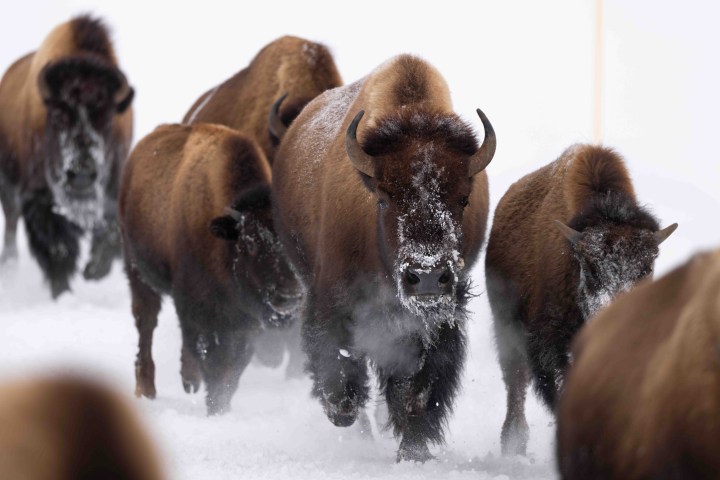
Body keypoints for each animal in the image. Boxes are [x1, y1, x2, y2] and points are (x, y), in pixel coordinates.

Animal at [0, 15, 134, 297]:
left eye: (107, 120)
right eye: (59, 117)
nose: (81, 175)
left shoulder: (113, 188)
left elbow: (109, 233)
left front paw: (93, 271)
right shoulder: (39, 198)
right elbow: (57, 248)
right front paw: (61, 290)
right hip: (7, 184)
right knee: (11, 224)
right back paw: (9, 268)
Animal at [119, 123, 302, 415]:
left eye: (291, 242)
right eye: (250, 243)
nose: (289, 297)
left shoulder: (245, 323)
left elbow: (234, 369)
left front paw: (220, 407)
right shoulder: (200, 311)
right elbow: (214, 364)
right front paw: (215, 408)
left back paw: (188, 381)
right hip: (139, 274)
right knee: (146, 324)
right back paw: (146, 388)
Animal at [272, 54, 495, 461]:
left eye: (463, 198)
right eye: (384, 198)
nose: (427, 275)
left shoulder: (437, 320)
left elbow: (417, 388)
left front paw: (414, 451)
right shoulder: (332, 298)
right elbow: (340, 364)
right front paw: (342, 412)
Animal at [485, 144, 677, 455]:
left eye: (647, 267)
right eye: (590, 268)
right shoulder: (549, 345)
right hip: (507, 331)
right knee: (516, 384)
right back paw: (513, 446)